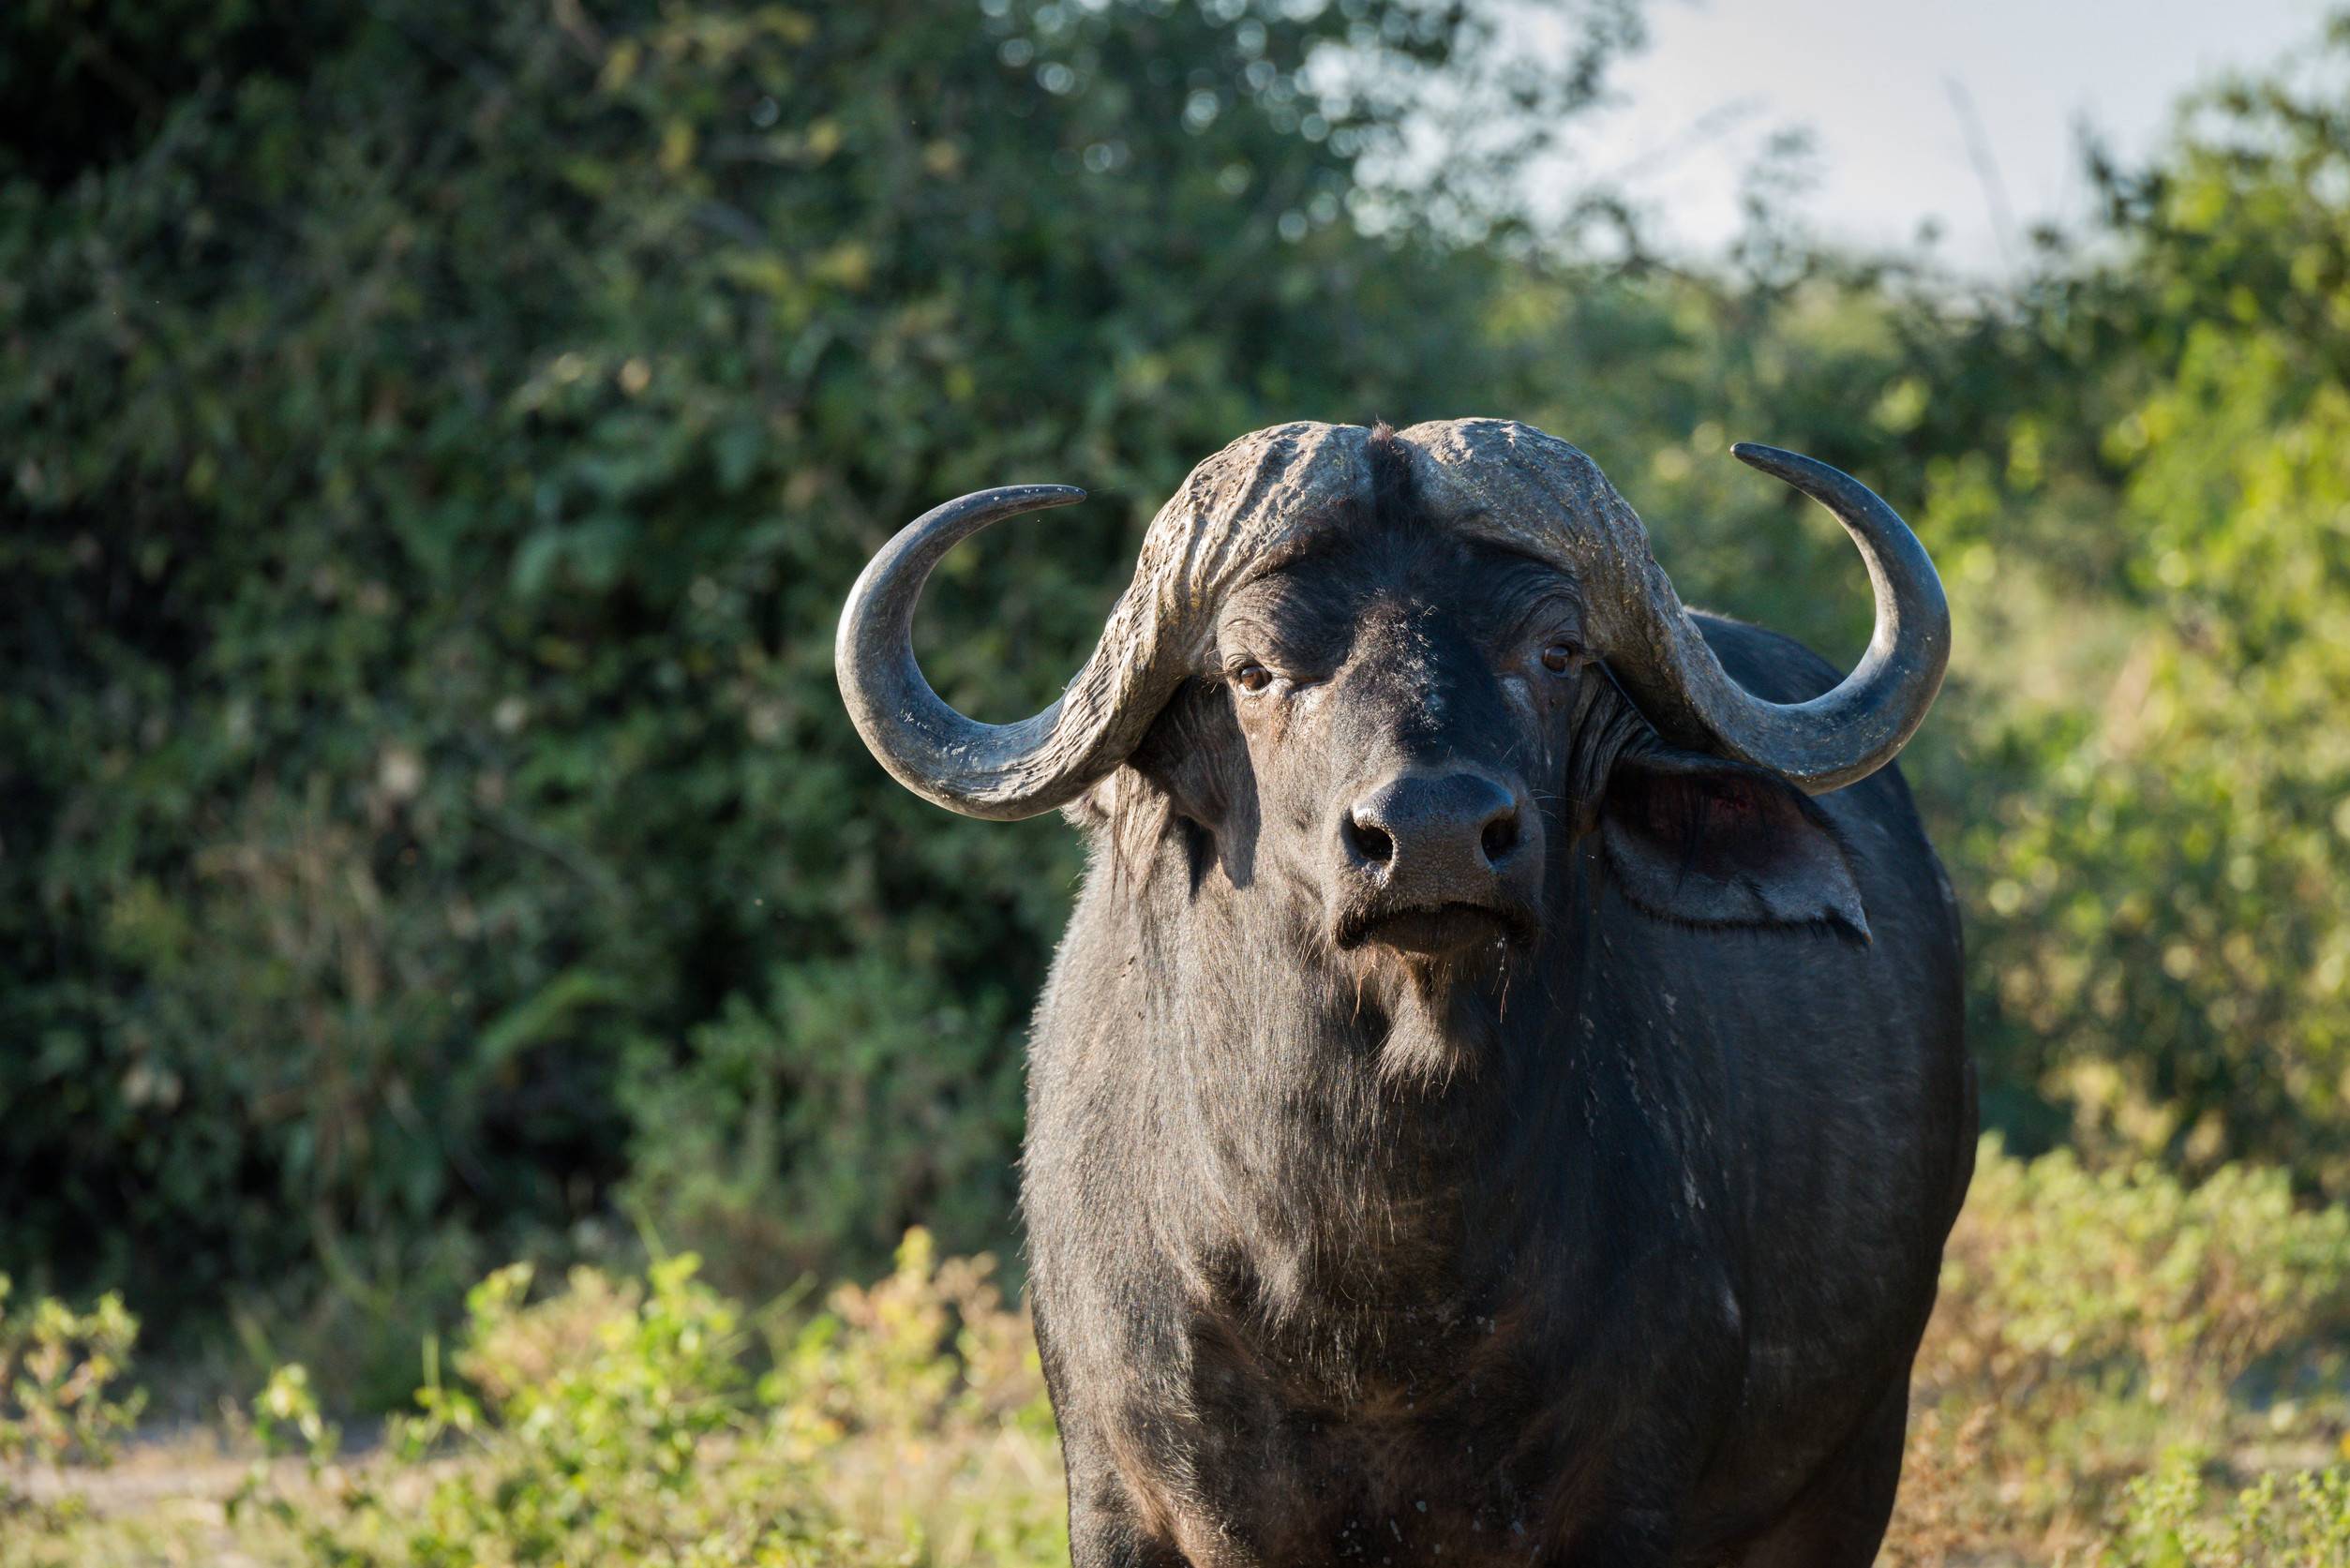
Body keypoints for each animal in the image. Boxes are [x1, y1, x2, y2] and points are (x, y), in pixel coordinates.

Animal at [836, 419, 1974, 1566]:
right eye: (1252, 669)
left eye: (1556, 653)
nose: (1432, 834)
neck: (1377, 1281)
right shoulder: (1118, 1500)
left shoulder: (1631, 1500)